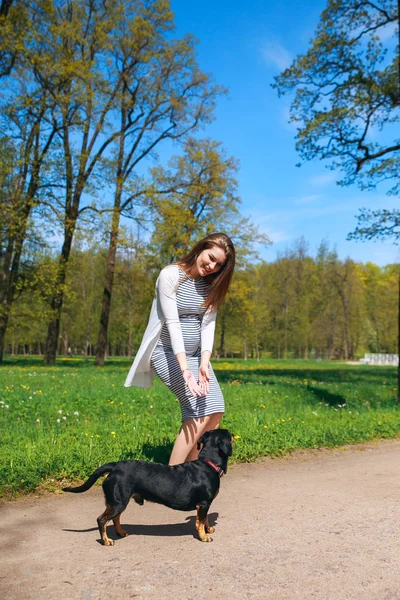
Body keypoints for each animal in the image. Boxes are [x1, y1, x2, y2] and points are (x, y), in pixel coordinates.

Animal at [63, 426, 233, 544]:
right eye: (228, 434)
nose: (233, 435)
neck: (208, 464)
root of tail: (115, 466)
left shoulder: (205, 505)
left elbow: (205, 520)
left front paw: (208, 529)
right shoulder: (203, 504)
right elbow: (200, 522)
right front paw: (204, 536)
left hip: (118, 502)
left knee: (115, 518)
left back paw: (120, 532)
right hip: (118, 502)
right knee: (102, 520)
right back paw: (106, 541)